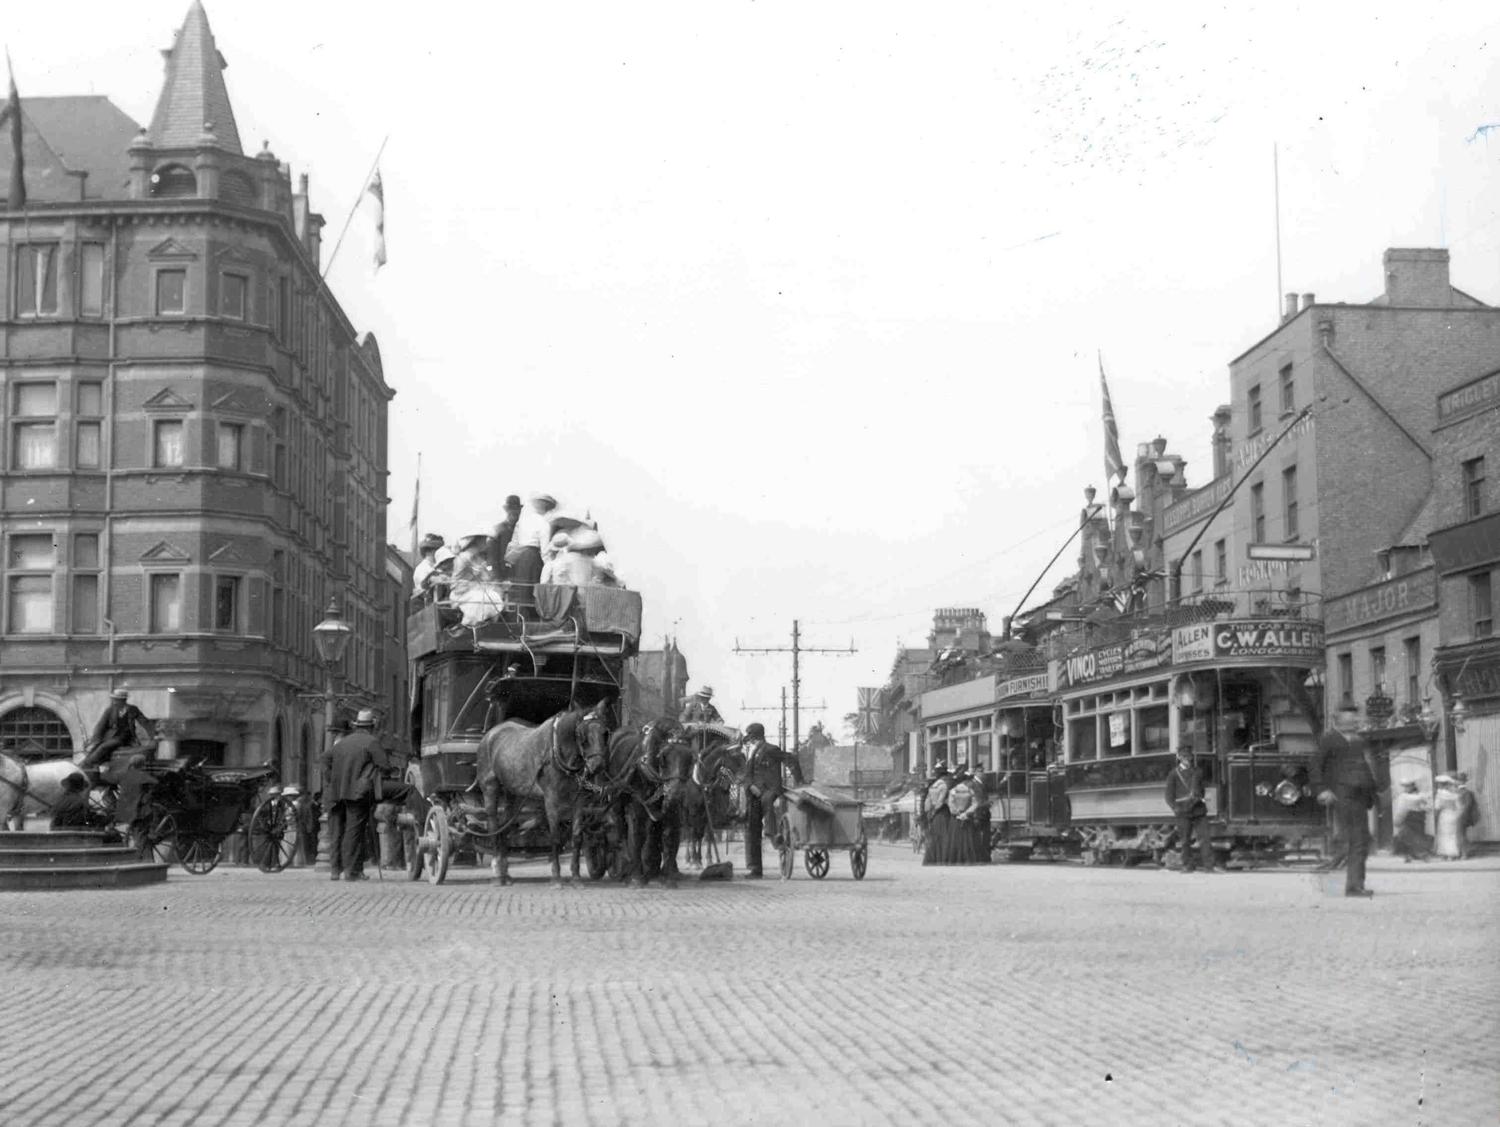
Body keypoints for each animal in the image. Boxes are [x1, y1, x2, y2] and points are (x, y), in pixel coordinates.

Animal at [471, 705, 606, 888]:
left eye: (605, 732)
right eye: (582, 735)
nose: (597, 765)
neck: (556, 752)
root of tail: (489, 735)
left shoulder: (579, 802)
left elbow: (577, 838)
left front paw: (576, 877)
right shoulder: (551, 800)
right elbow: (555, 838)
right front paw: (556, 877)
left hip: (512, 794)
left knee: (505, 827)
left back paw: (505, 874)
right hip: (490, 789)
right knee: (493, 827)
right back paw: (497, 874)